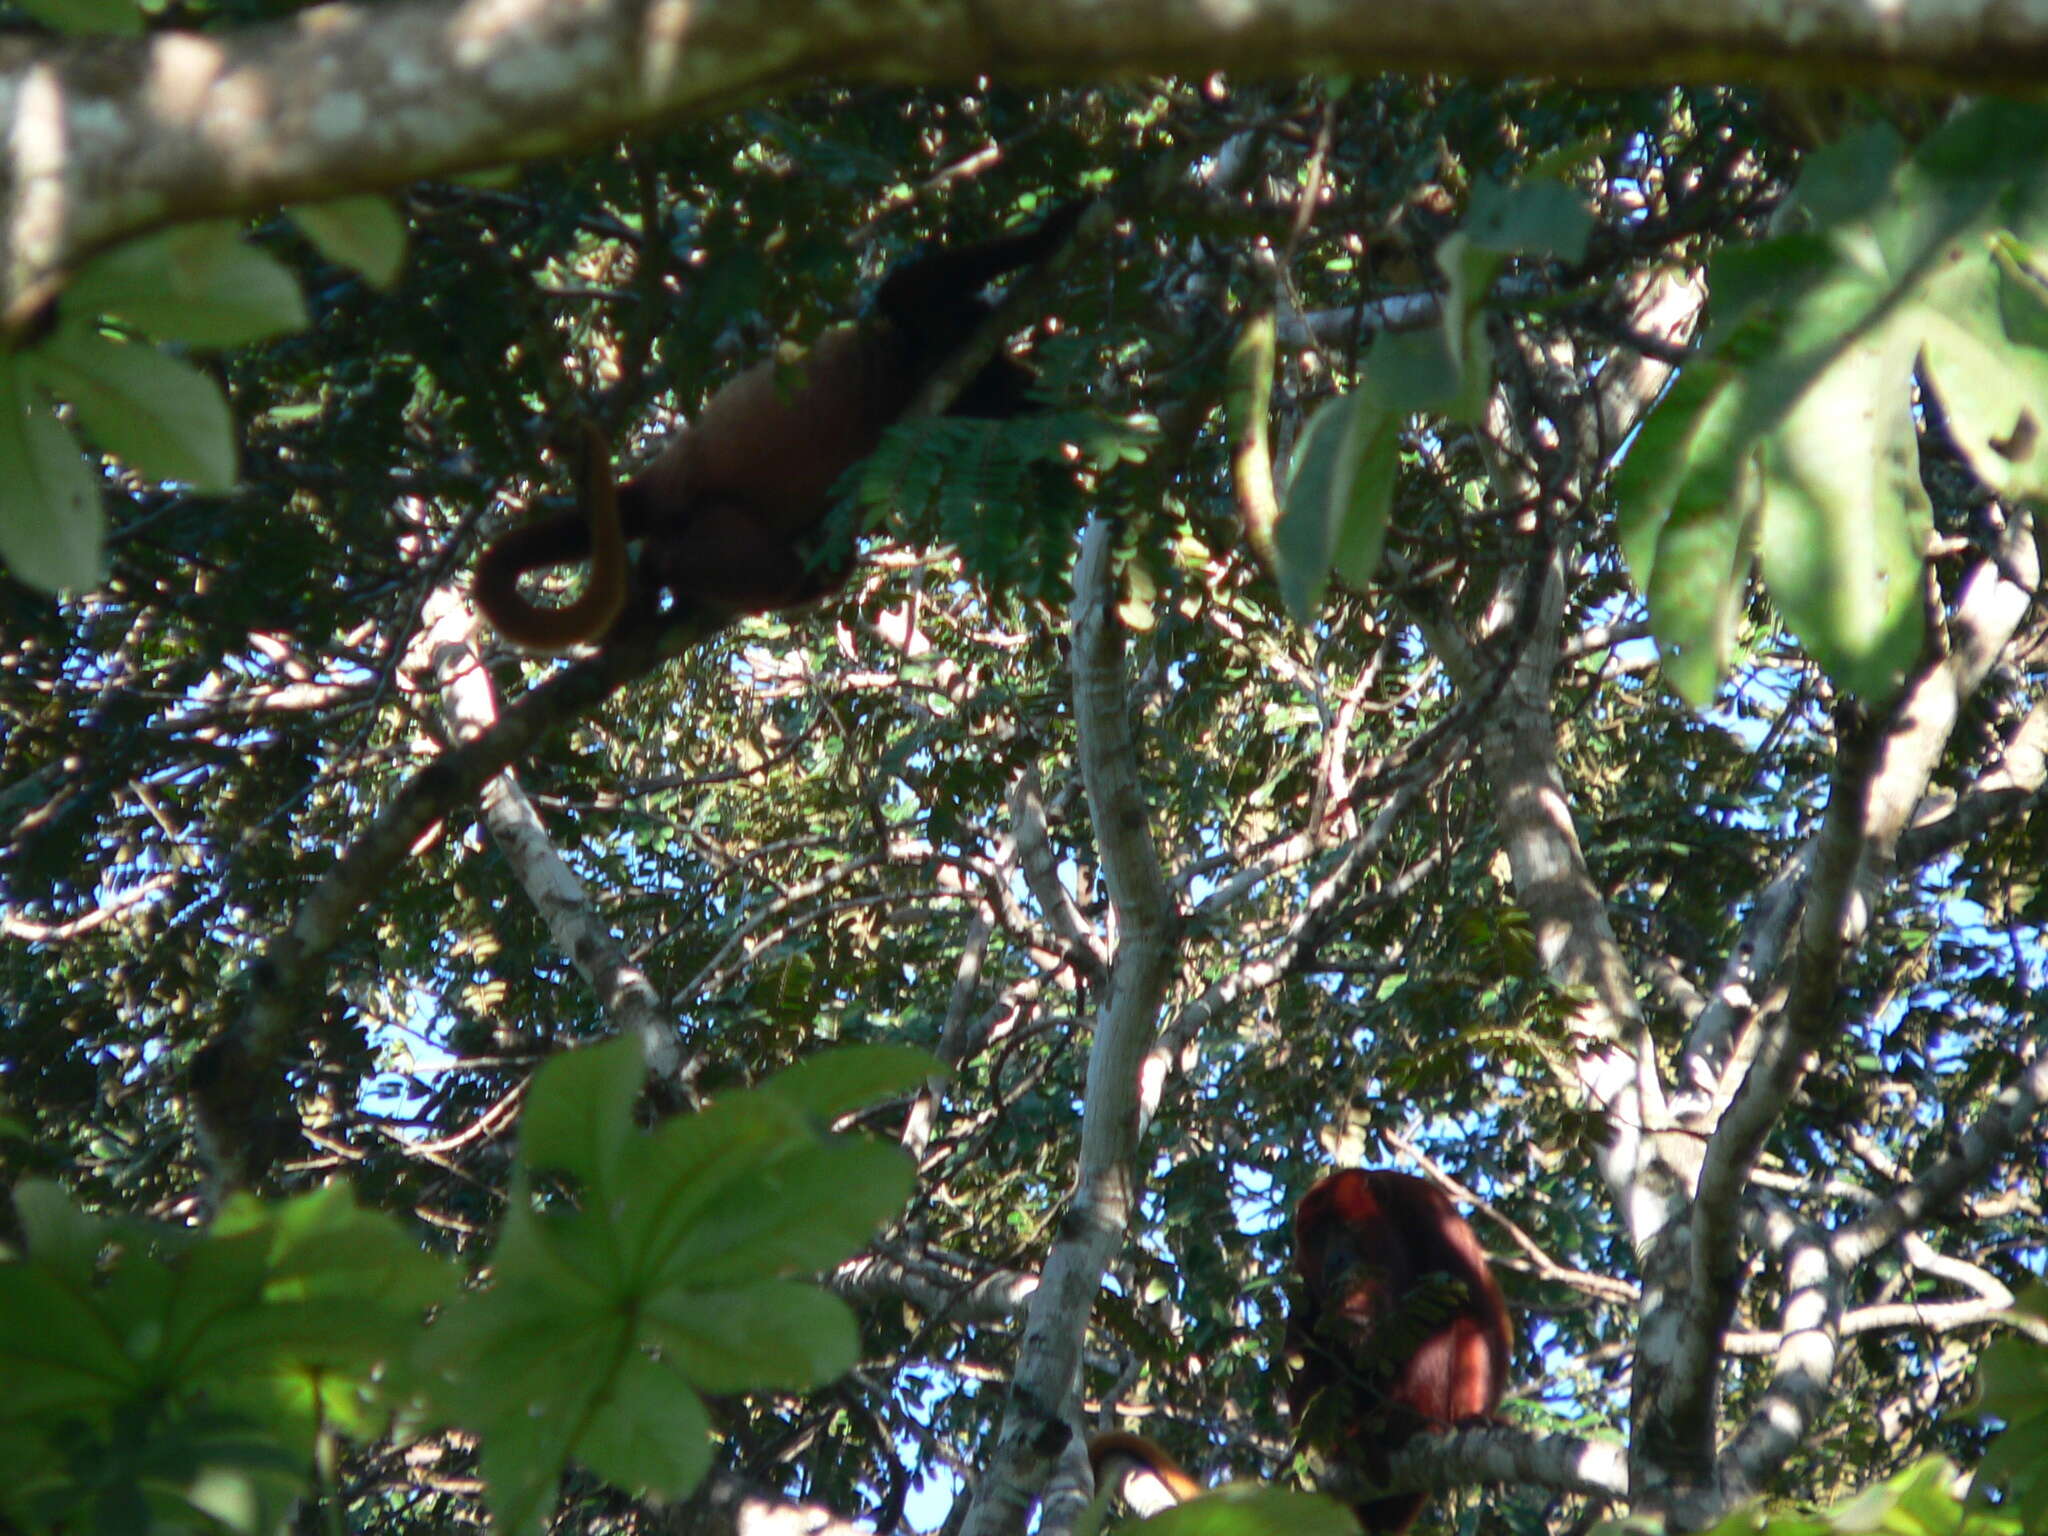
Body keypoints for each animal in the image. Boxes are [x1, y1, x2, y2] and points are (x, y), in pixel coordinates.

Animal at [473, 199, 1097, 651]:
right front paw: (1051, 229)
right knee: (771, 573)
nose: (1028, 386)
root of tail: (657, 483)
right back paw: (662, 571)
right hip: (715, 522)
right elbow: (906, 289)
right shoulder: (922, 332)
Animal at [1286, 1171, 1515, 1531]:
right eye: (1317, 1238)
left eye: (1345, 1228)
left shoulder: (1433, 1216)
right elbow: (1301, 1362)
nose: (1334, 1261)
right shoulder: (1303, 1272)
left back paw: (1410, 1425)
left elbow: (1477, 1314)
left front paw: (1472, 1418)